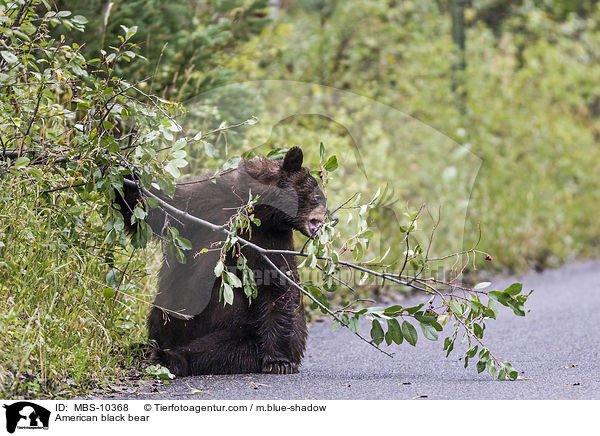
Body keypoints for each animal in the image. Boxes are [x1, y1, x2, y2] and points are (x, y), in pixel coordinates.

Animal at [116, 148, 332, 376]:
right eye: (317, 196)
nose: (331, 218)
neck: (258, 207)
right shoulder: (207, 202)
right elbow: (155, 207)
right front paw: (120, 172)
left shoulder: (269, 239)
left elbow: (277, 284)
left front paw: (278, 361)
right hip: (173, 311)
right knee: (162, 319)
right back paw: (143, 347)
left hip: (243, 328)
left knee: (223, 347)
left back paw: (168, 357)